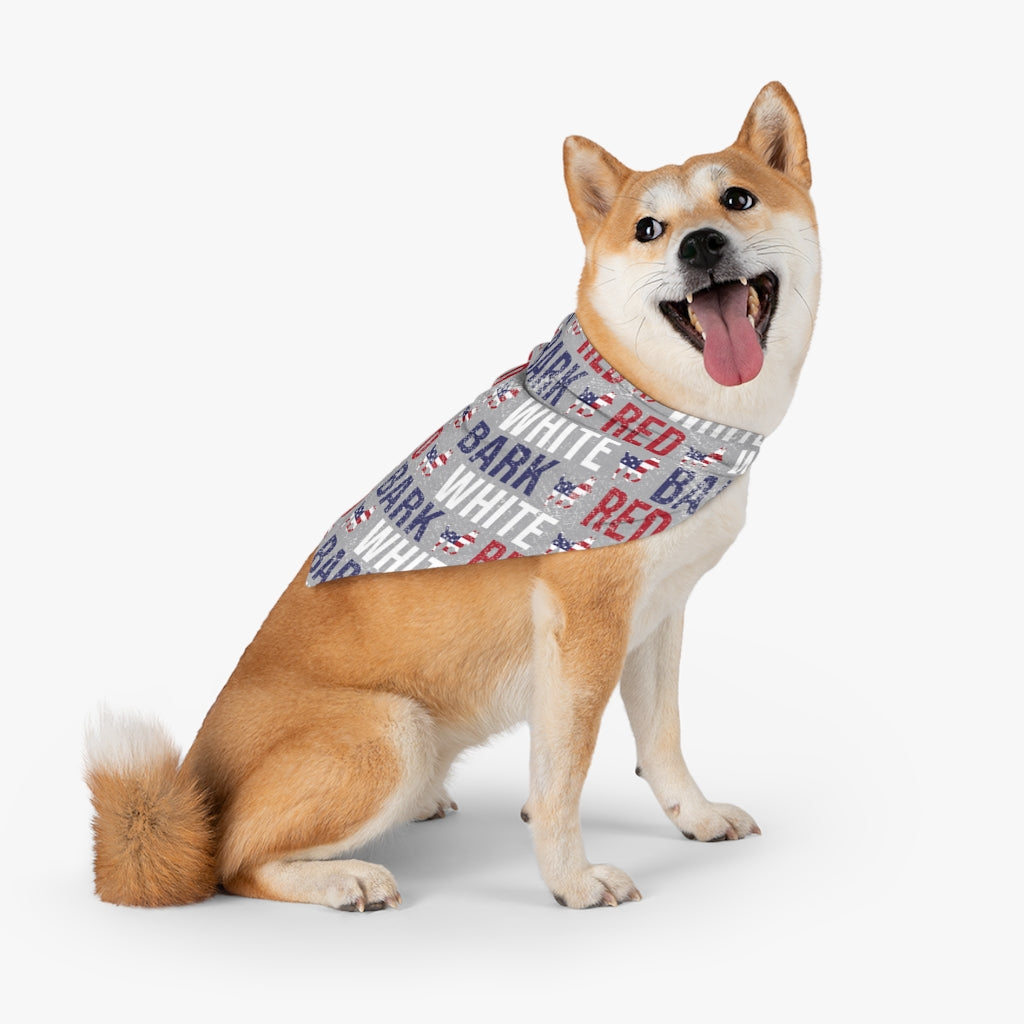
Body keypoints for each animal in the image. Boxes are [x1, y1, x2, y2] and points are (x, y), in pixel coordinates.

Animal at [90, 81, 823, 913]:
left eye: (737, 199)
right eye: (648, 229)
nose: (698, 244)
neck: (665, 412)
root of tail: (190, 784)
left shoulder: (657, 615)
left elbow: (661, 739)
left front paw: (693, 818)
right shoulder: (585, 629)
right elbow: (562, 775)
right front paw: (572, 880)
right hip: (392, 729)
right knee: (233, 861)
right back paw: (343, 877)